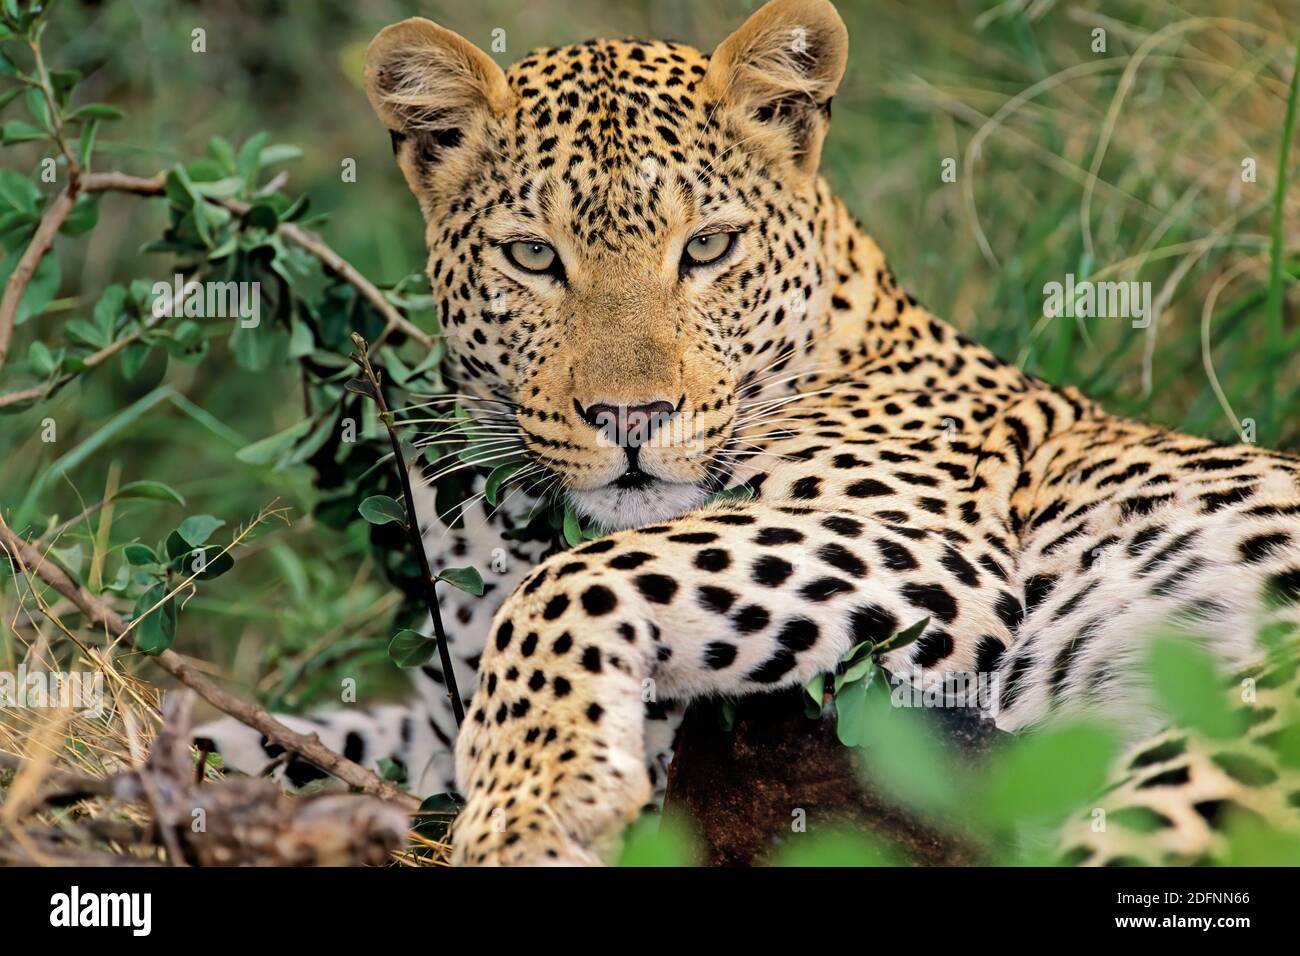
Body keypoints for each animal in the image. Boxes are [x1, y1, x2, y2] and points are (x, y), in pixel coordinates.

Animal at [192, 0, 1300, 868]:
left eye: (708, 248)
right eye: (533, 257)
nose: (630, 417)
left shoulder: (924, 545)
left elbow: (576, 583)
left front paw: (535, 806)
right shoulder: (434, 711)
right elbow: (290, 731)